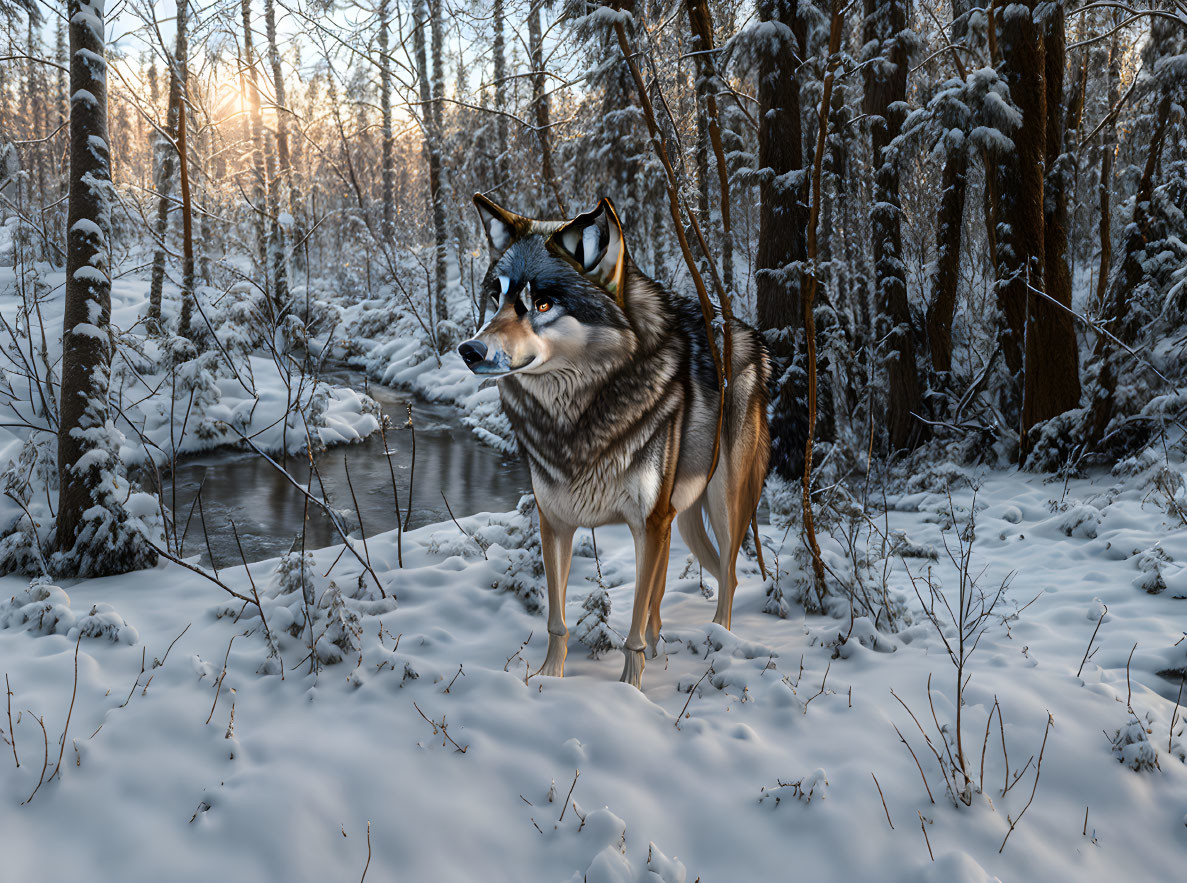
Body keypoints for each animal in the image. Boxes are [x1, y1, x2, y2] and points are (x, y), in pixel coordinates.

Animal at [453, 194, 769, 688]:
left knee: (729, 576)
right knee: (693, 581)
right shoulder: (555, 521)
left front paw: (629, 693)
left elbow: (633, 627)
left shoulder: (647, 524)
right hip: (679, 518)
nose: (470, 350)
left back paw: (720, 641)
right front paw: (549, 681)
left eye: (543, 303)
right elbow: (558, 619)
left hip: (718, 505)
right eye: (495, 297)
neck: (577, 418)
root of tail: (747, 332)